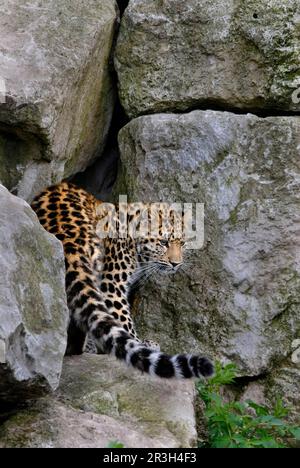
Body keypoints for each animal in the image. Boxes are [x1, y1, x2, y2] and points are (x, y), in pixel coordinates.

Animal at [31, 182, 213, 380]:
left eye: (182, 243)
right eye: (163, 243)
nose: (176, 264)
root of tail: (68, 237)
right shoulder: (112, 286)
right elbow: (124, 322)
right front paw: (143, 344)